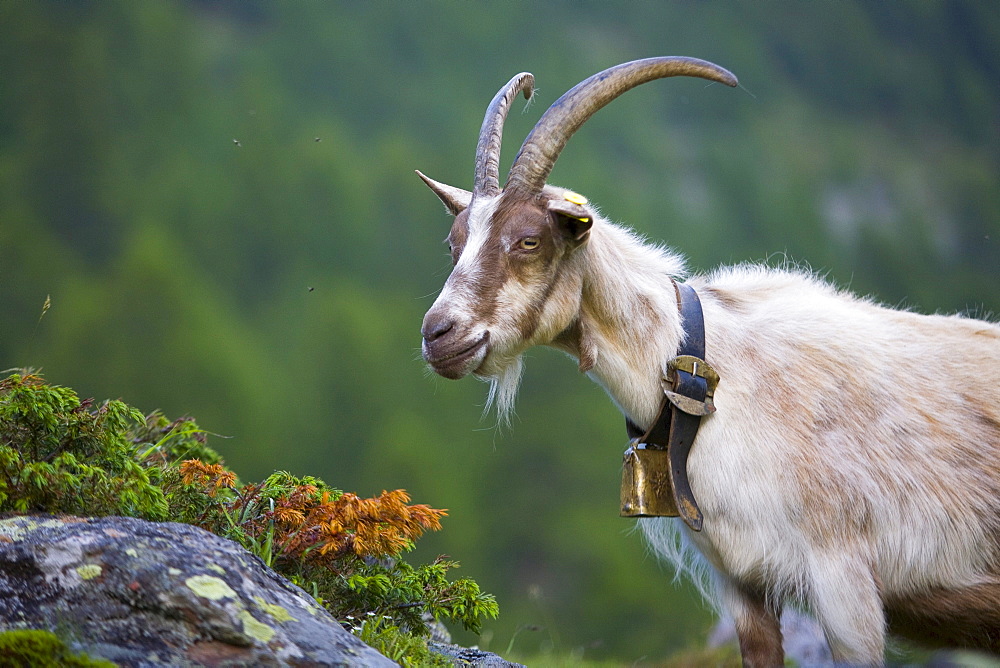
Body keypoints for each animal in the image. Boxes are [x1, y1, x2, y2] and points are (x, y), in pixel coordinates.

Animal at [416, 58, 1000, 668]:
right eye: (454, 242)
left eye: (529, 240)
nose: (438, 335)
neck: (715, 379)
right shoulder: (743, 580)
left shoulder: (845, 583)